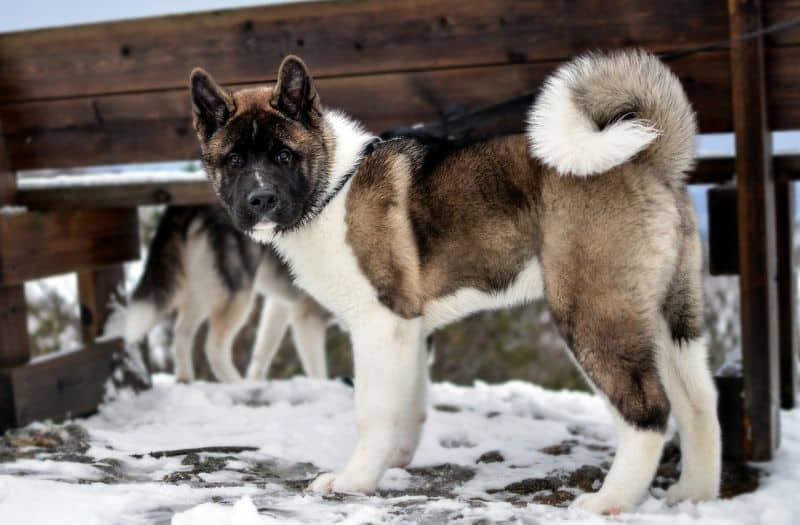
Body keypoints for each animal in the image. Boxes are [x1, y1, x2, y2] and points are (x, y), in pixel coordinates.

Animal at [118, 204, 328, 380]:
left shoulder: (283, 304)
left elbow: (263, 352)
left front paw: (256, 382)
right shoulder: (307, 312)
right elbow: (317, 370)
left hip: (204, 290)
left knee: (181, 333)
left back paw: (186, 380)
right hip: (237, 295)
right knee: (214, 349)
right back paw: (237, 385)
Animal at [191, 50, 720, 512]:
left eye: (283, 156)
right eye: (234, 160)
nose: (260, 200)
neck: (334, 187)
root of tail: (649, 159)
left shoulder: (380, 322)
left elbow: (373, 410)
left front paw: (353, 480)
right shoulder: (409, 328)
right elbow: (408, 403)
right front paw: (394, 463)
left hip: (592, 312)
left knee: (648, 410)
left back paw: (610, 501)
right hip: (673, 317)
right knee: (698, 404)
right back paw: (692, 495)